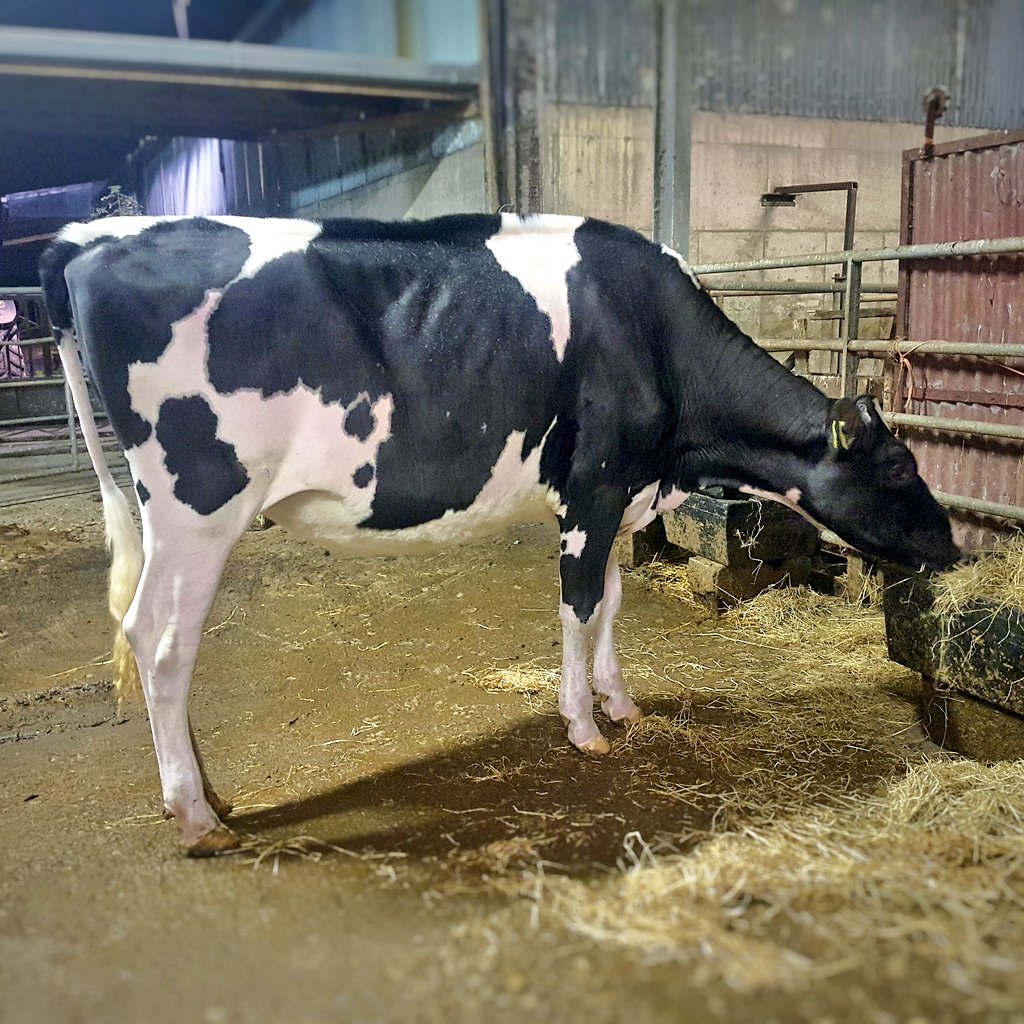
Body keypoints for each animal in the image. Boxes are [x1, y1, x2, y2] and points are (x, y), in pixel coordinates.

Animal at [40, 213, 958, 855]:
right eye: (899, 467)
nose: (954, 548)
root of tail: (91, 239)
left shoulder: (616, 498)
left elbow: (613, 600)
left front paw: (621, 702)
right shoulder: (593, 487)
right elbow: (579, 606)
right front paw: (584, 726)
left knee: (155, 639)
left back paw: (211, 794)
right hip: (196, 504)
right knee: (162, 642)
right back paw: (197, 816)